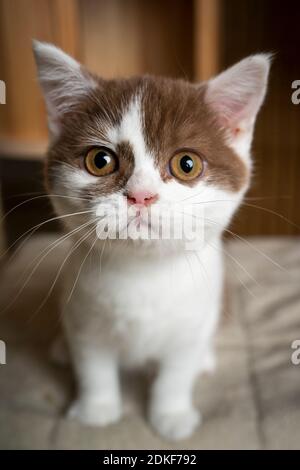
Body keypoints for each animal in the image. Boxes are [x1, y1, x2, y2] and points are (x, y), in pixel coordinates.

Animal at [32, 42, 270, 442]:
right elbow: (92, 364)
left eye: (186, 164)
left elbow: (176, 373)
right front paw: (97, 409)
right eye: (100, 160)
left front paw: (171, 414)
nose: (141, 195)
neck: (142, 271)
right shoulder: (83, 313)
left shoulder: (193, 320)